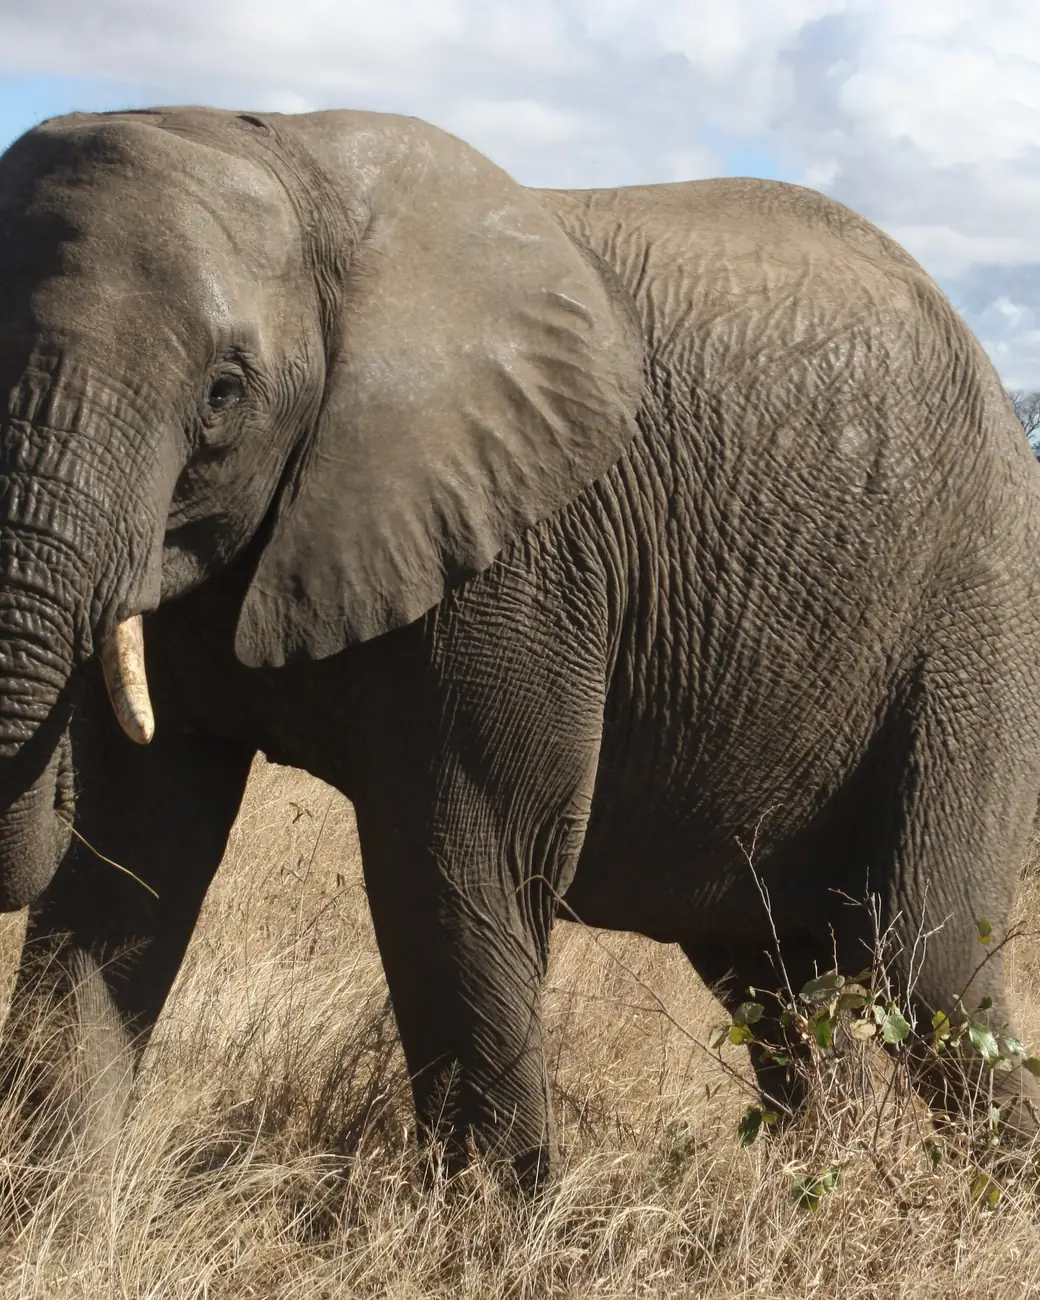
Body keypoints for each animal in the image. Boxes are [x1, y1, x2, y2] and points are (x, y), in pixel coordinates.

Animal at [0, 104, 1037, 1188]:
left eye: (221, 394)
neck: (286, 155)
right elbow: (129, 849)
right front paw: (56, 1210)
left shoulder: (524, 562)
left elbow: (460, 860)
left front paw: (490, 1220)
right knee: (772, 987)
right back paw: (805, 1188)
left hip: (973, 627)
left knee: (932, 972)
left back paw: (982, 1203)